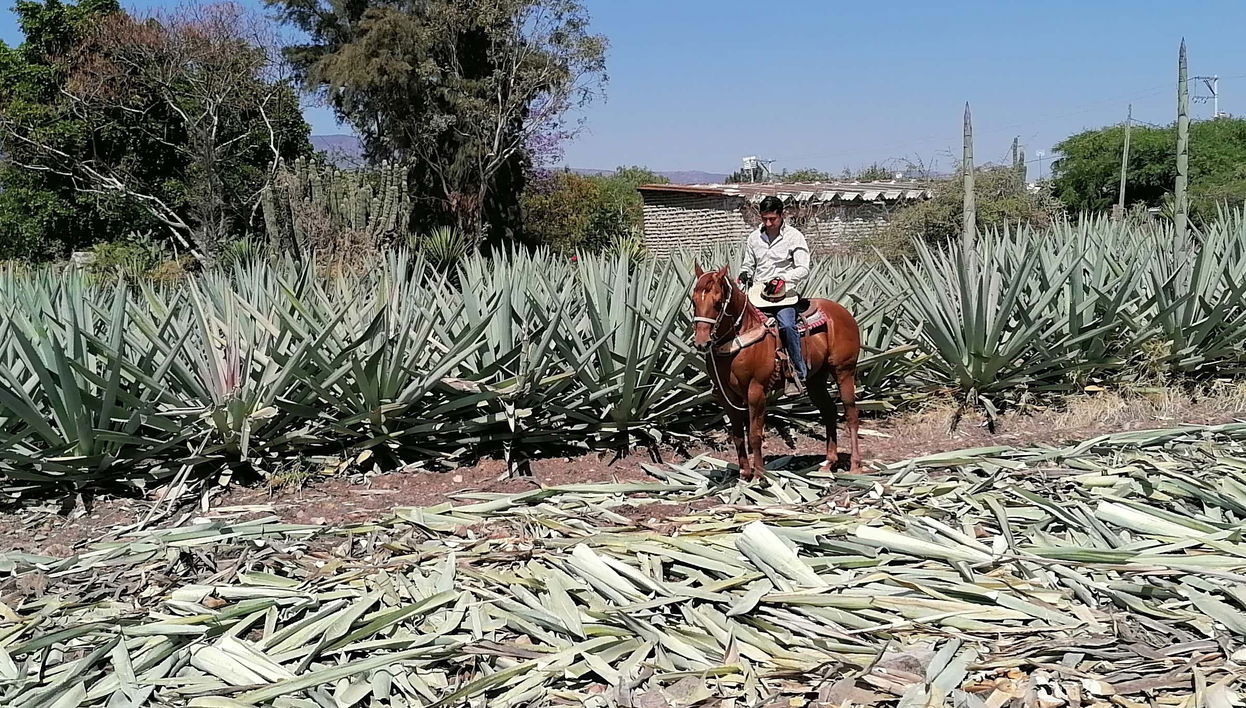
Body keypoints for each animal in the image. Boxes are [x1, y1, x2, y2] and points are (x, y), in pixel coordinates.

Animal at [689, 264, 863, 480]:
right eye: (693, 301)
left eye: (718, 302)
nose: (701, 342)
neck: (739, 340)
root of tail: (843, 312)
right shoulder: (725, 395)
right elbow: (738, 436)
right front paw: (744, 475)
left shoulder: (756, 391)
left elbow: (754, 435)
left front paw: (759, 476)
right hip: (816, 380)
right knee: (829, 412)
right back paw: (828, 463)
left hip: (844, 371)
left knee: (851, 414)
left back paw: (855, 465)